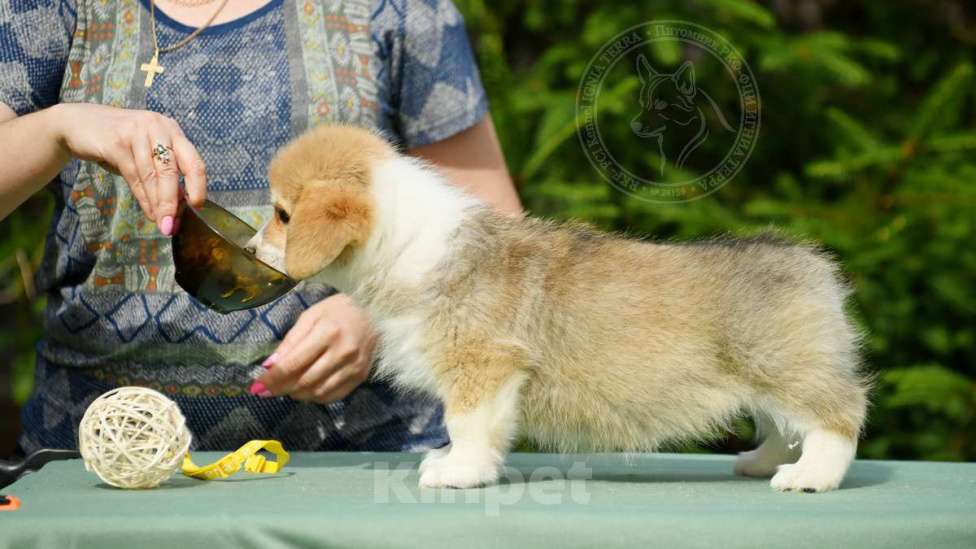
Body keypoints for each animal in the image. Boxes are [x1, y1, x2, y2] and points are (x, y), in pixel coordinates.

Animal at [246, 125, 868, 492]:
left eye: (282, 214)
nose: (249, 250)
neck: (405, 243)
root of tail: (810, 265)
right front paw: (452, 462)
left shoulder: (482, 367)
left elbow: (467, 426)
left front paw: (458, 473)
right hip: (769, 378)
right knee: (783, 426)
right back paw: (763, 464)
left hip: (786, 370)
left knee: (839, 415)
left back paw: (810, 476)